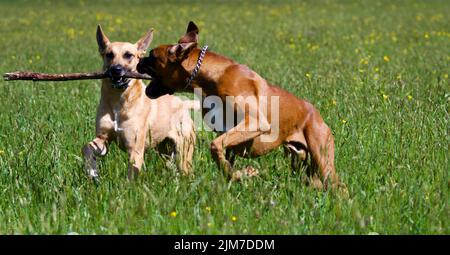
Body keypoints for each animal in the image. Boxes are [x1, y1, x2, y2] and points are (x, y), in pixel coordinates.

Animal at [82, 25, 197, 181]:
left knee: (186, 169)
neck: (119, 101)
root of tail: (183, 104)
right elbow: (87, 148)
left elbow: (131, 174)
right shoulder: (103, 138)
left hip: (183, 152)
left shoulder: (135, 149)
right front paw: (92, 171)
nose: (116, 70)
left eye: (128, 55)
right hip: (165, 151)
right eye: (109, 54)